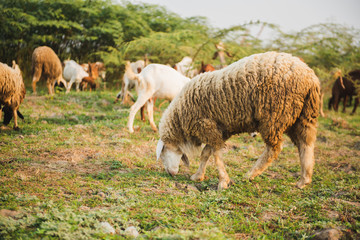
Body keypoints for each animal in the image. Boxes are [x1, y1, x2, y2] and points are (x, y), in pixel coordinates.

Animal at [156, 51, 320, 190]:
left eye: (163, 153)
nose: (170, 174)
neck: (180, 116)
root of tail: (310, 77)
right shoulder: (219, 129)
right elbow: (206, 152)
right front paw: (198, 176)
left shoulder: (206, 126)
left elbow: (216, 154)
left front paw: (223, 181)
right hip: (303, 116)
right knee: (306, 145)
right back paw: (304, 180)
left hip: (275, 114)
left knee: (274, 149)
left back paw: (250, 174)